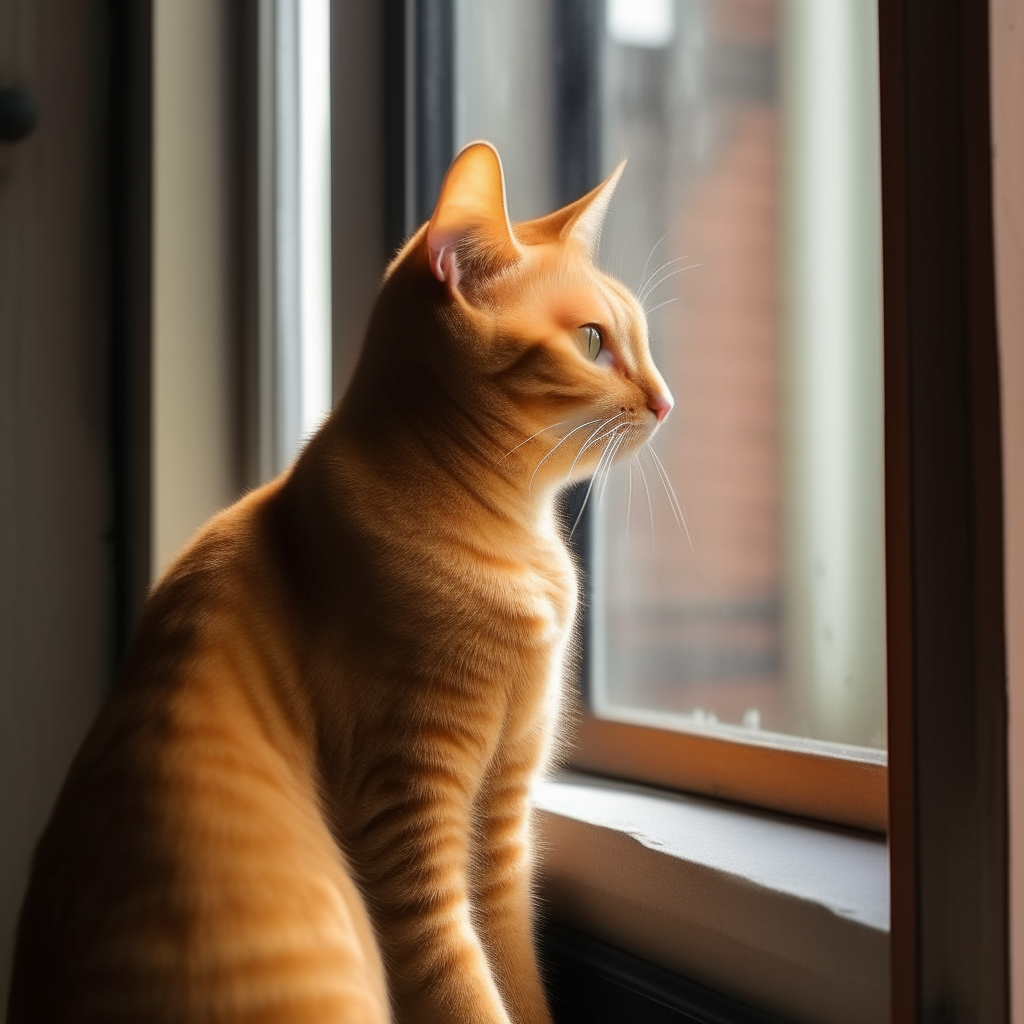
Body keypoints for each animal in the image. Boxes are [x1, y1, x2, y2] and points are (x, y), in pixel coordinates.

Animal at [9, 144, 671, 1024]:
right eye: (595, 343)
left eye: (640, 341)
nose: (667, 401)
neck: (517, 538)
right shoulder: (404, 820)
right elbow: (463, 987)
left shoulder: (502, 822)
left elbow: (516, 973)